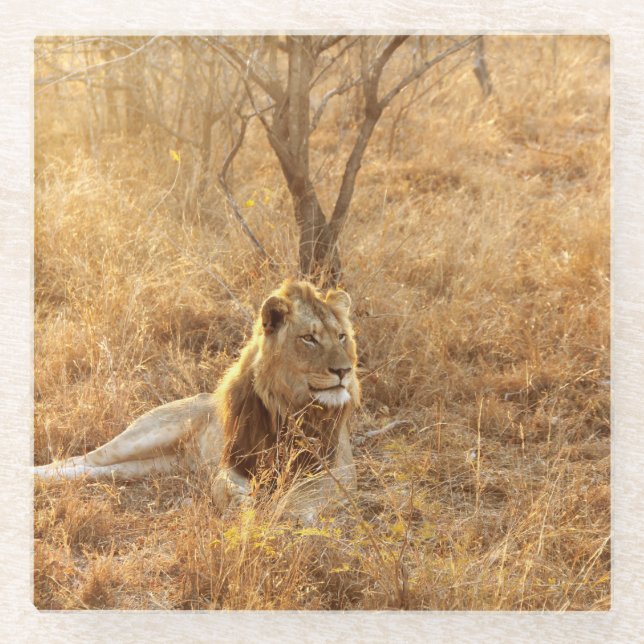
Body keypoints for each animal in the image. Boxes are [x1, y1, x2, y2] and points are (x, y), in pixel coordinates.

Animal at [35, 280, 360, 520]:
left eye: (341, 336)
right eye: (309, 338)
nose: (344, 371)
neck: (291, 405)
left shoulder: (340, 468)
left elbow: (310, 491)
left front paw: (289, 511)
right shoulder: (234, 460)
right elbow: (221, 484)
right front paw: (239, 502)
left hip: (153, 465)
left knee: (95, 470)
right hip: (145, 435)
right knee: (82, 459)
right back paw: (35, 474)